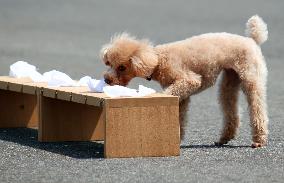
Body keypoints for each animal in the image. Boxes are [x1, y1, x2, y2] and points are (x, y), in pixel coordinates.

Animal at [101, 15, 268, 148]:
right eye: (109, 64)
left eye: (122, 67)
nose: (107, 79)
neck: (157, 60)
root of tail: (252, 40)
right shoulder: (183, 95)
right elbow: (180, 115)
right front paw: (177, 136)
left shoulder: (188, 81)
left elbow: (171, 93)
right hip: (230, 78)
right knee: (230, 105)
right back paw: (224, 138)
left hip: (250, 76)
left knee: (257, 106)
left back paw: (259, 139)